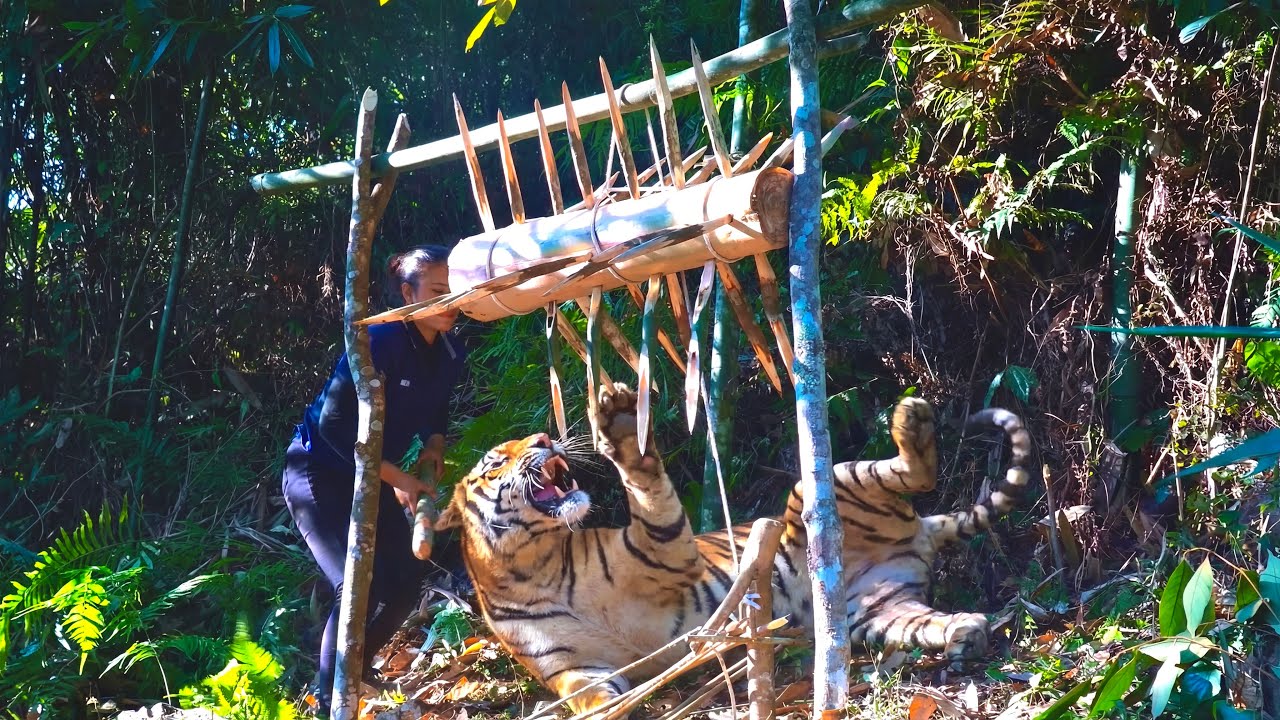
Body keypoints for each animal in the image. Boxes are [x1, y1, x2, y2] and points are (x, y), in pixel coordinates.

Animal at [435, 383, 1031, 713]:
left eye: (527, 443)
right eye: (496, 460)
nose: (543, 439)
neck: (534, 566)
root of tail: (922, 529)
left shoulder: (664, 550)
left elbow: (648, 487)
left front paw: (623, 425)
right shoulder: (570, 667)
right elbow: (586, 695)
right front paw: (613, 706)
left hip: (824, 481)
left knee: (917, 470)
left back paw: (912, 418)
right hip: (878, 610)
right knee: (931, 619)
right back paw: (967, 634)